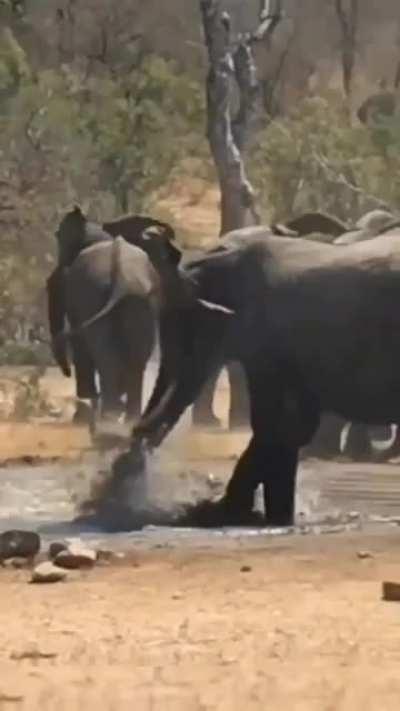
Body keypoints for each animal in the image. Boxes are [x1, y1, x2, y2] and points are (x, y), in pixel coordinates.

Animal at [113, 225, 400, 526]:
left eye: (188, 329)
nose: (137, 435)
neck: (217, 259)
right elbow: (292, 426)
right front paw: (262, 516)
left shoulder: (265, 344)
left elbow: (274, 424)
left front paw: (220, 513)